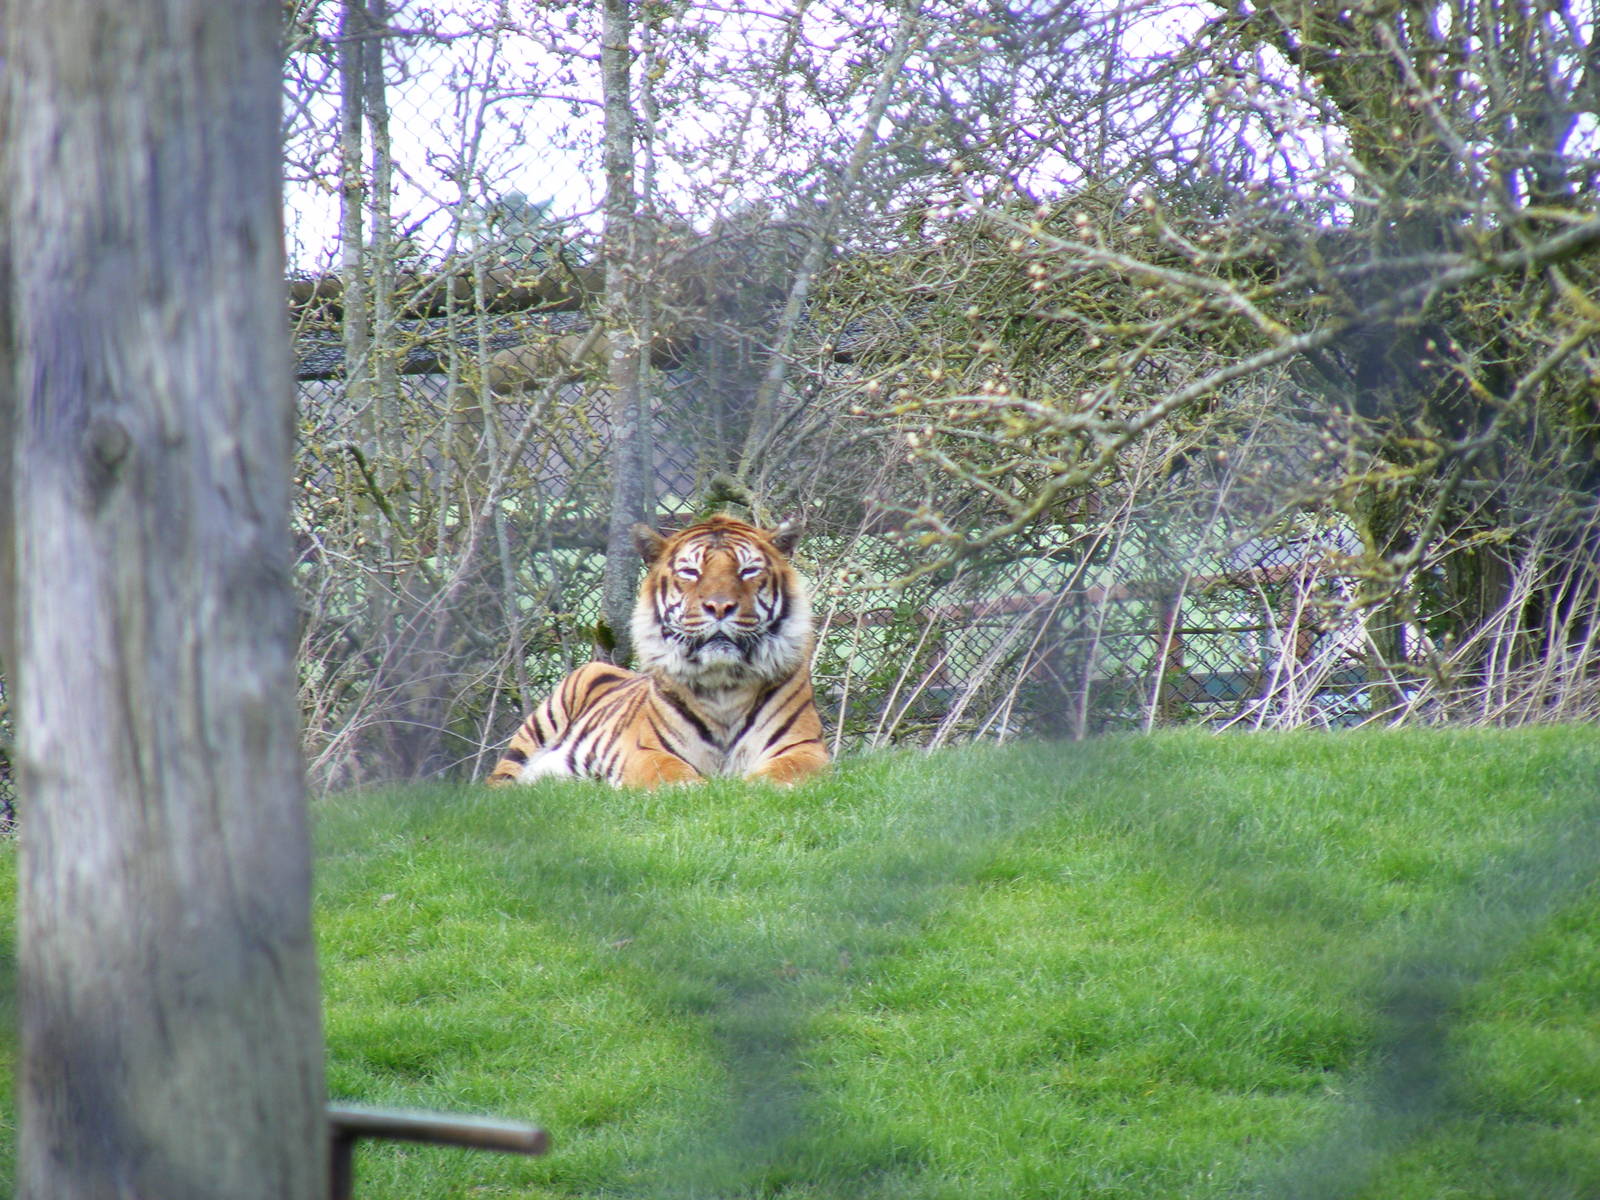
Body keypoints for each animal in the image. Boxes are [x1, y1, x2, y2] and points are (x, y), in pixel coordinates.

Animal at [487, 514, 829, 788]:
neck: (723, 684)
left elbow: (783, 772)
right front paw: (693, 789)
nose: (719, 606)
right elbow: (668, 772)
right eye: (691, 572)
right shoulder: (649, 751)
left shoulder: (804, 747)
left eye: (747, 571)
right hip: (548, 717)